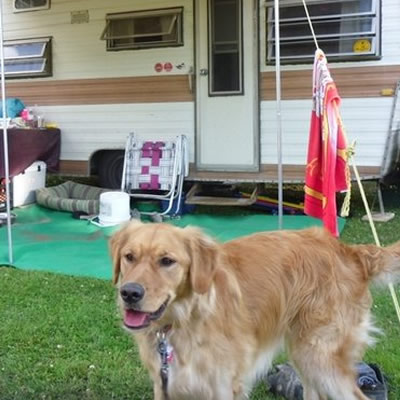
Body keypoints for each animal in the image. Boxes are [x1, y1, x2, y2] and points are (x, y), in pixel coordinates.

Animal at [109, 222, 400, 400]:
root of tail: (348, 251)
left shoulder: (223, 386)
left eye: (167, 261)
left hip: (321, 358)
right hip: (306, 358)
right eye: (129, 257)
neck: (184, 319)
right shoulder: (165, 384)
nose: (130, 293)